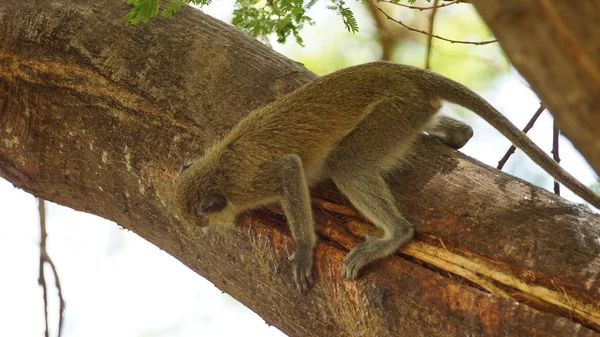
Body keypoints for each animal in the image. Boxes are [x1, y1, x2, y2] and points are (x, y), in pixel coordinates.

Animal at [172, 60, 600, 292]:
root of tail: (400, 72)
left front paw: (304, 249)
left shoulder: (253, 179)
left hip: (394, 111)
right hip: (410, 111)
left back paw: (395, 234)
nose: (199, 231)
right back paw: (455, 135)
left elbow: (290, 168)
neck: (219, 168)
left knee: (346, 163)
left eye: (200, 219)